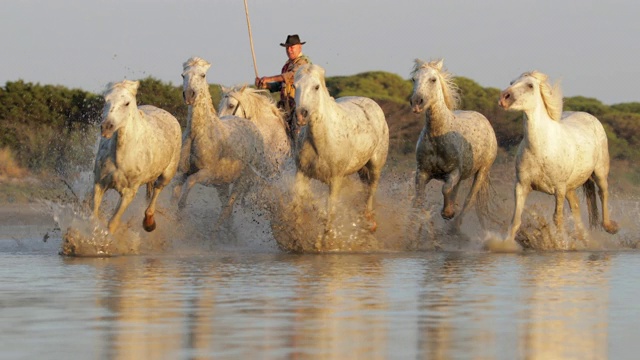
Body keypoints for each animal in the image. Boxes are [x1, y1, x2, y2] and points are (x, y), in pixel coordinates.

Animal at [90, 79, 181, 233]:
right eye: (105, 100)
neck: (120, 157)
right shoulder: (99, 184)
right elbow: (93, 217)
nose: (107, 126)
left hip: (167, 175)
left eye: (126, 103)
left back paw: (149, 223)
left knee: (157, 190)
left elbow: (112, 223)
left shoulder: (128, 193)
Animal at [174, 56, 268, 231]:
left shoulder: (206, 174)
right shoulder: (182, 173)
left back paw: (216, 233)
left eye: (203, 75)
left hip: (241, 180)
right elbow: (174, 194)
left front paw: (179, 217)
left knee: (227, 209)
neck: (198, 133)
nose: (189, 95)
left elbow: (187, 189)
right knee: (227, 211)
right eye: (183, 75)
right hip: (222, 184)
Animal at [294, 63, 390, 235]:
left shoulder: (335, 180)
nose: (301, 115)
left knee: (371, 190)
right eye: (294, 86)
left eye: (316, 87)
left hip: (375, 165)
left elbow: (330, 215)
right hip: (361, 169)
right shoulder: (302, 173)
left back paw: (369, 222)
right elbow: (298, 206)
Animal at [410, 57, 500, 229]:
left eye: (433, 79)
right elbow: (419, 199)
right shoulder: (422, 172)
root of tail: (485, 120)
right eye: (414, 79)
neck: (438, 135)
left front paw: (447, 213)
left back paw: (455, 224)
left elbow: (445, 190)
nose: (417, 102)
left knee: (469, 200)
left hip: (482, 172)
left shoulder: (453, 172)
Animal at [498, 69, 616, 245]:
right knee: (576, 206)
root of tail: (588, 115)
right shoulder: (521, 185)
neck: (541, 148)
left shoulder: (559, 189)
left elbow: (557, 219)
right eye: (512, 82)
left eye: (530, 85)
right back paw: (584, 238)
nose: (503, 98)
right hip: (571, 186)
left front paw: (560, 244)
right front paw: (506, 245)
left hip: (599, 172)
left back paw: (610, 227)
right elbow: (516, 220)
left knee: (603, 193)